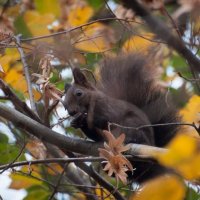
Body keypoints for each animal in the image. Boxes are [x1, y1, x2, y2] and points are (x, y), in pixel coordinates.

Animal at [63, 53, 179, 183]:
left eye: (79, 93)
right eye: (64, 105)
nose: (72, 112)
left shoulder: (110, 109)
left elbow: (106, 119)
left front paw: (85, 119)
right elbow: (95, 135)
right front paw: (76, 123)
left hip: (132, 124)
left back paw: (132, 140)